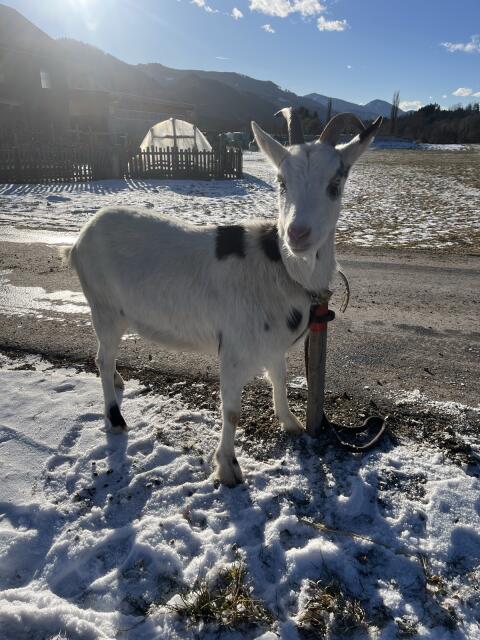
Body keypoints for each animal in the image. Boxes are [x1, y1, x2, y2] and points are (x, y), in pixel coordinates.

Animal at [63, 109, 382, 486]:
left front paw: (292, 424)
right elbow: (231, 411)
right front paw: (228, 467)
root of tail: (80, 239)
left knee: (108, 358)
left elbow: (280, 380)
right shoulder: (234, 349)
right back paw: (115, 418)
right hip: (104, 307)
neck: (278, 265)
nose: (297, 234)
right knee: (102, 356)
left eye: (336, 183)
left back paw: (116, 380)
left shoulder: (272, 346)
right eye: (281, 182)